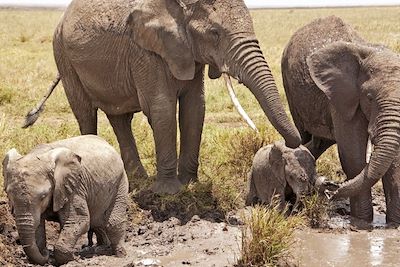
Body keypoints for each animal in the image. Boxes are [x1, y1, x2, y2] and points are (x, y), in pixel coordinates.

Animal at [2, 136, 128, 266]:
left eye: (43, 196)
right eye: (8, 194)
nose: (46, 253)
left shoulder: (74, 187)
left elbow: (79, 220)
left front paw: (71, 259)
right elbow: (38, 226)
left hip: (120, 181)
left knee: (112, 221)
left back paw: (119, 254)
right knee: (97, 222)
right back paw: (100, 249)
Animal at [25, 0, 300, 194]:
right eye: (214, 34)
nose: (288, 144)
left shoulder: (187, 52)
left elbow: (195, 108)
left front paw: (190, 184)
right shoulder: (145, 51)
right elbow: (162, 108)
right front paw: (169, 191)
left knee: (120, 118)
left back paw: (138, 178)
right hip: (63, 55)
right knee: (85, 114)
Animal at [282, 15, 400, 224]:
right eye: (369, 97)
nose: (330, 188)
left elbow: (393, 161)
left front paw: (394, 224)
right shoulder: (341, 97)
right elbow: (352, 154)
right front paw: (362, 222)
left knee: (319, 142)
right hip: (289, 86)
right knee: (303, 136)